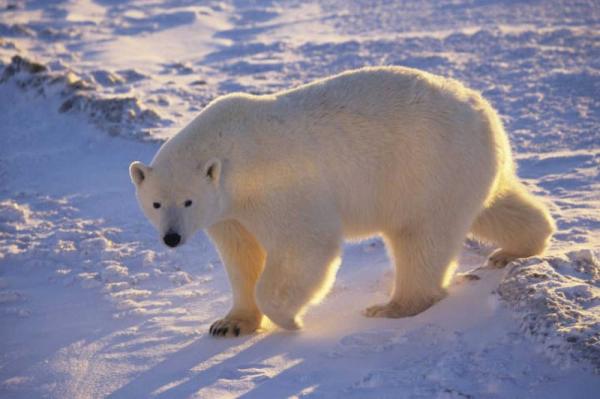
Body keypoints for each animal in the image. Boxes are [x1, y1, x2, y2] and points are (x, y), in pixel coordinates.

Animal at [129, 66, 556, 338]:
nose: (171, 238)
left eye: (187, 201)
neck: (232, 150)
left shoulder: (277, 184)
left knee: (420, 238)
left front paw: (288, 320)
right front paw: (230, 323)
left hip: (426, 165)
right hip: (461, 168)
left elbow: (305, 245)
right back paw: (517, 247)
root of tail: (485, 111)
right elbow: (241, 257)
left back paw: (393, 306)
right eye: (156, 204)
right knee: (493, 206)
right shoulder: (228, 214)